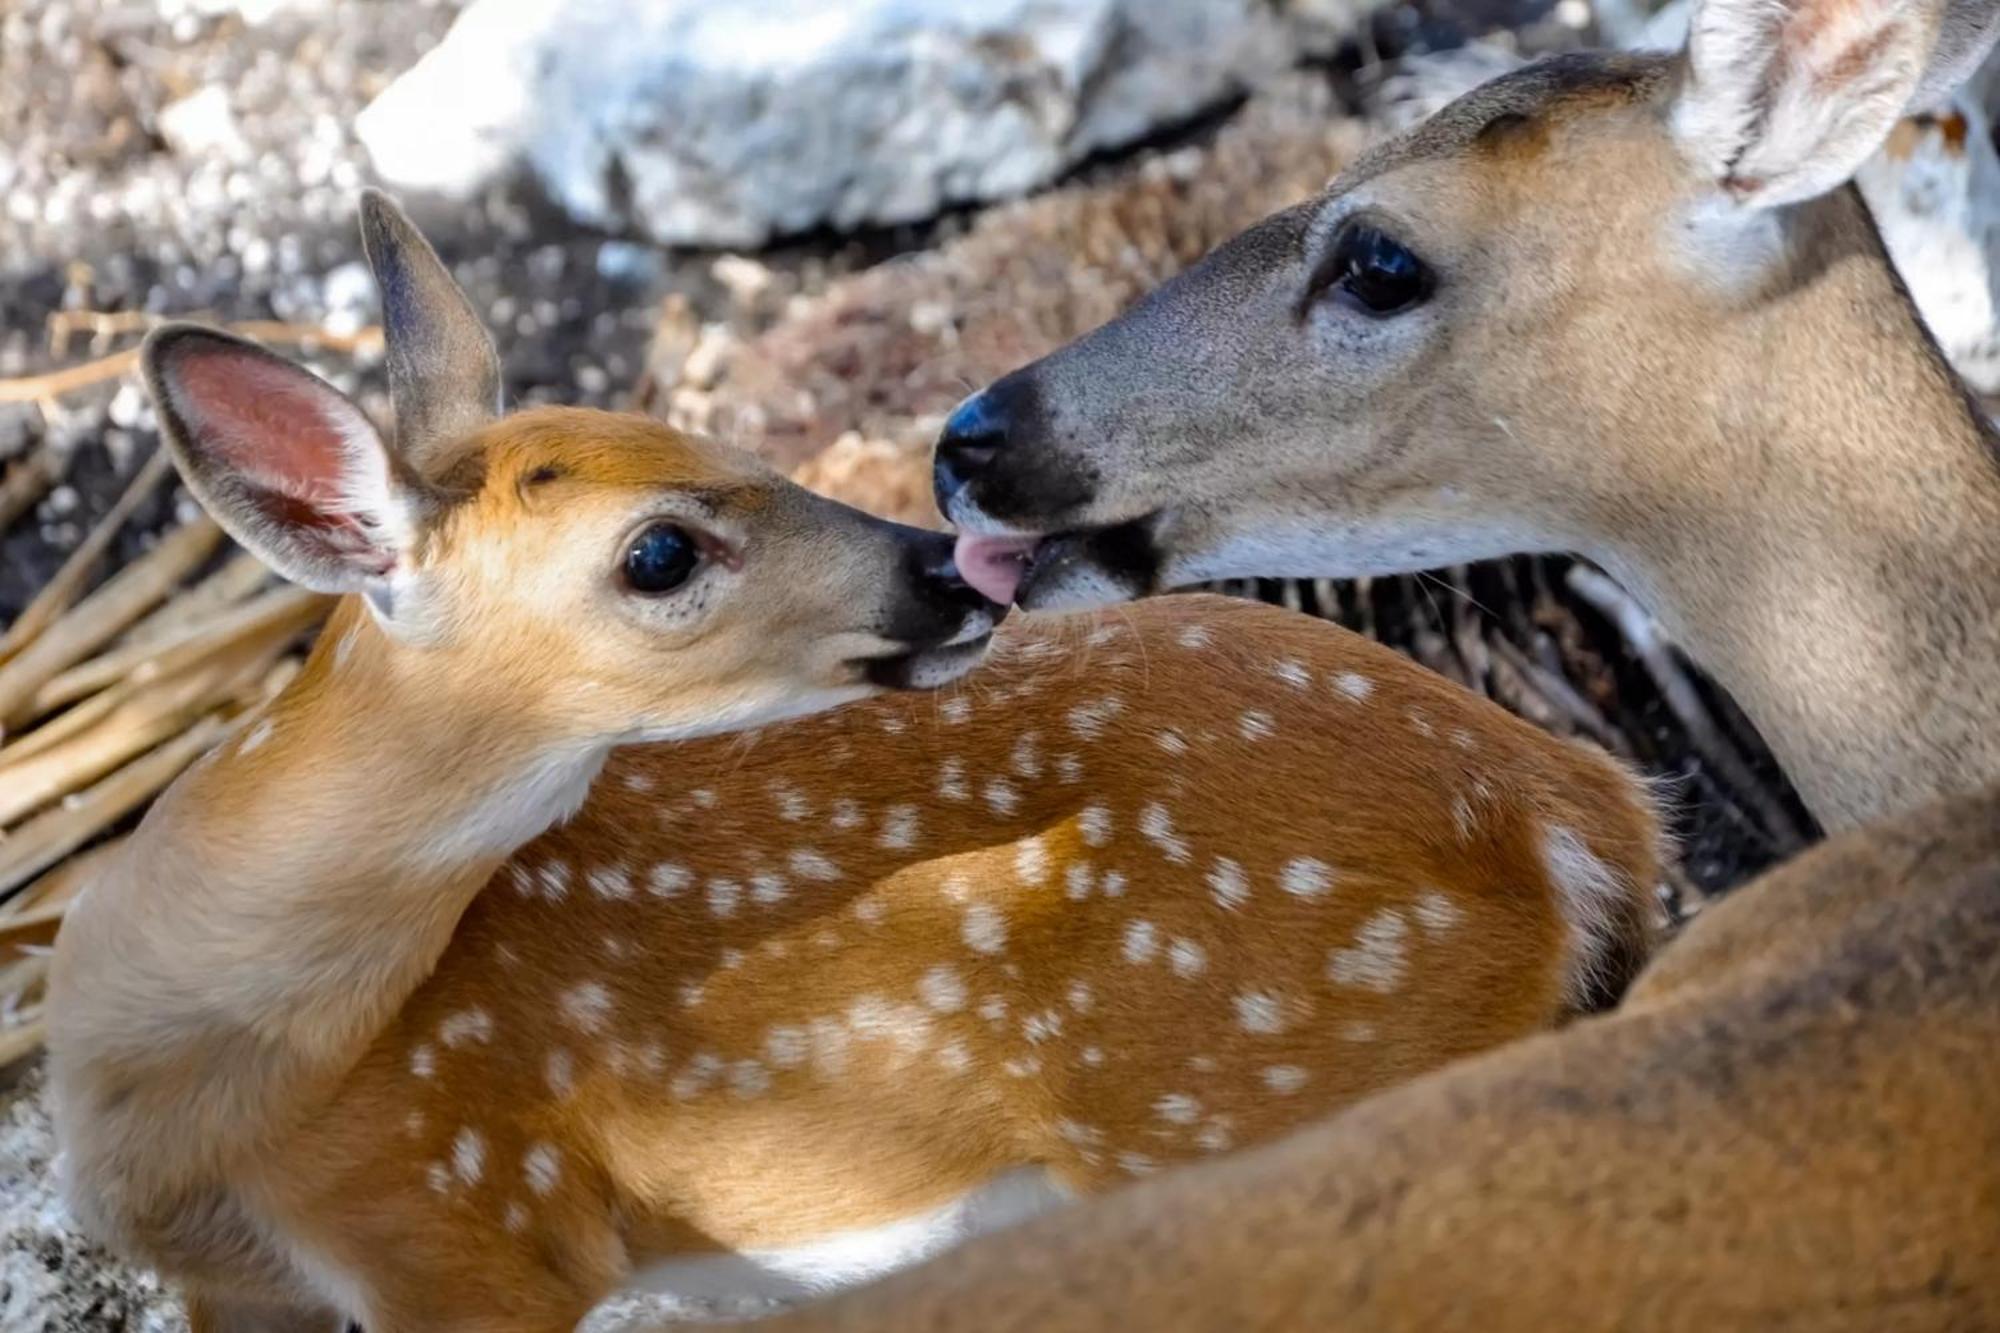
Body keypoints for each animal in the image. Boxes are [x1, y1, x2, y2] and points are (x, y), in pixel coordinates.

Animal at [50, 192, 1672, 1320]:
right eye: (658, 548)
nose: (948, 565)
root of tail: (1579, 811)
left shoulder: (468, 1237)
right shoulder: (246, 1281)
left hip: (1260, 1106)